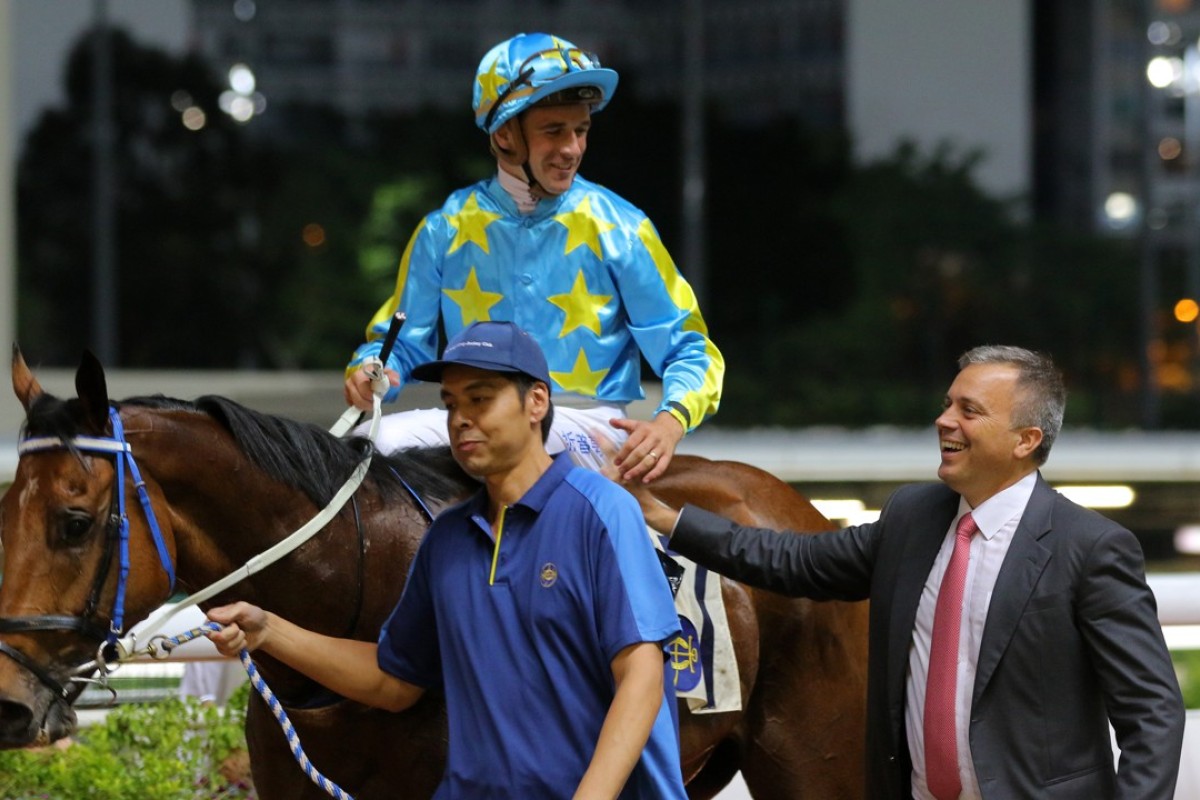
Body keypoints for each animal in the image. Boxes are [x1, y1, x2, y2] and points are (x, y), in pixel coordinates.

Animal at [0, 350, 868, 800]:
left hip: (812, 764)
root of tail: (809, 518)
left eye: (74, 521)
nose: (7, 703)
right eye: (4, 512)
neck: (357, 593)